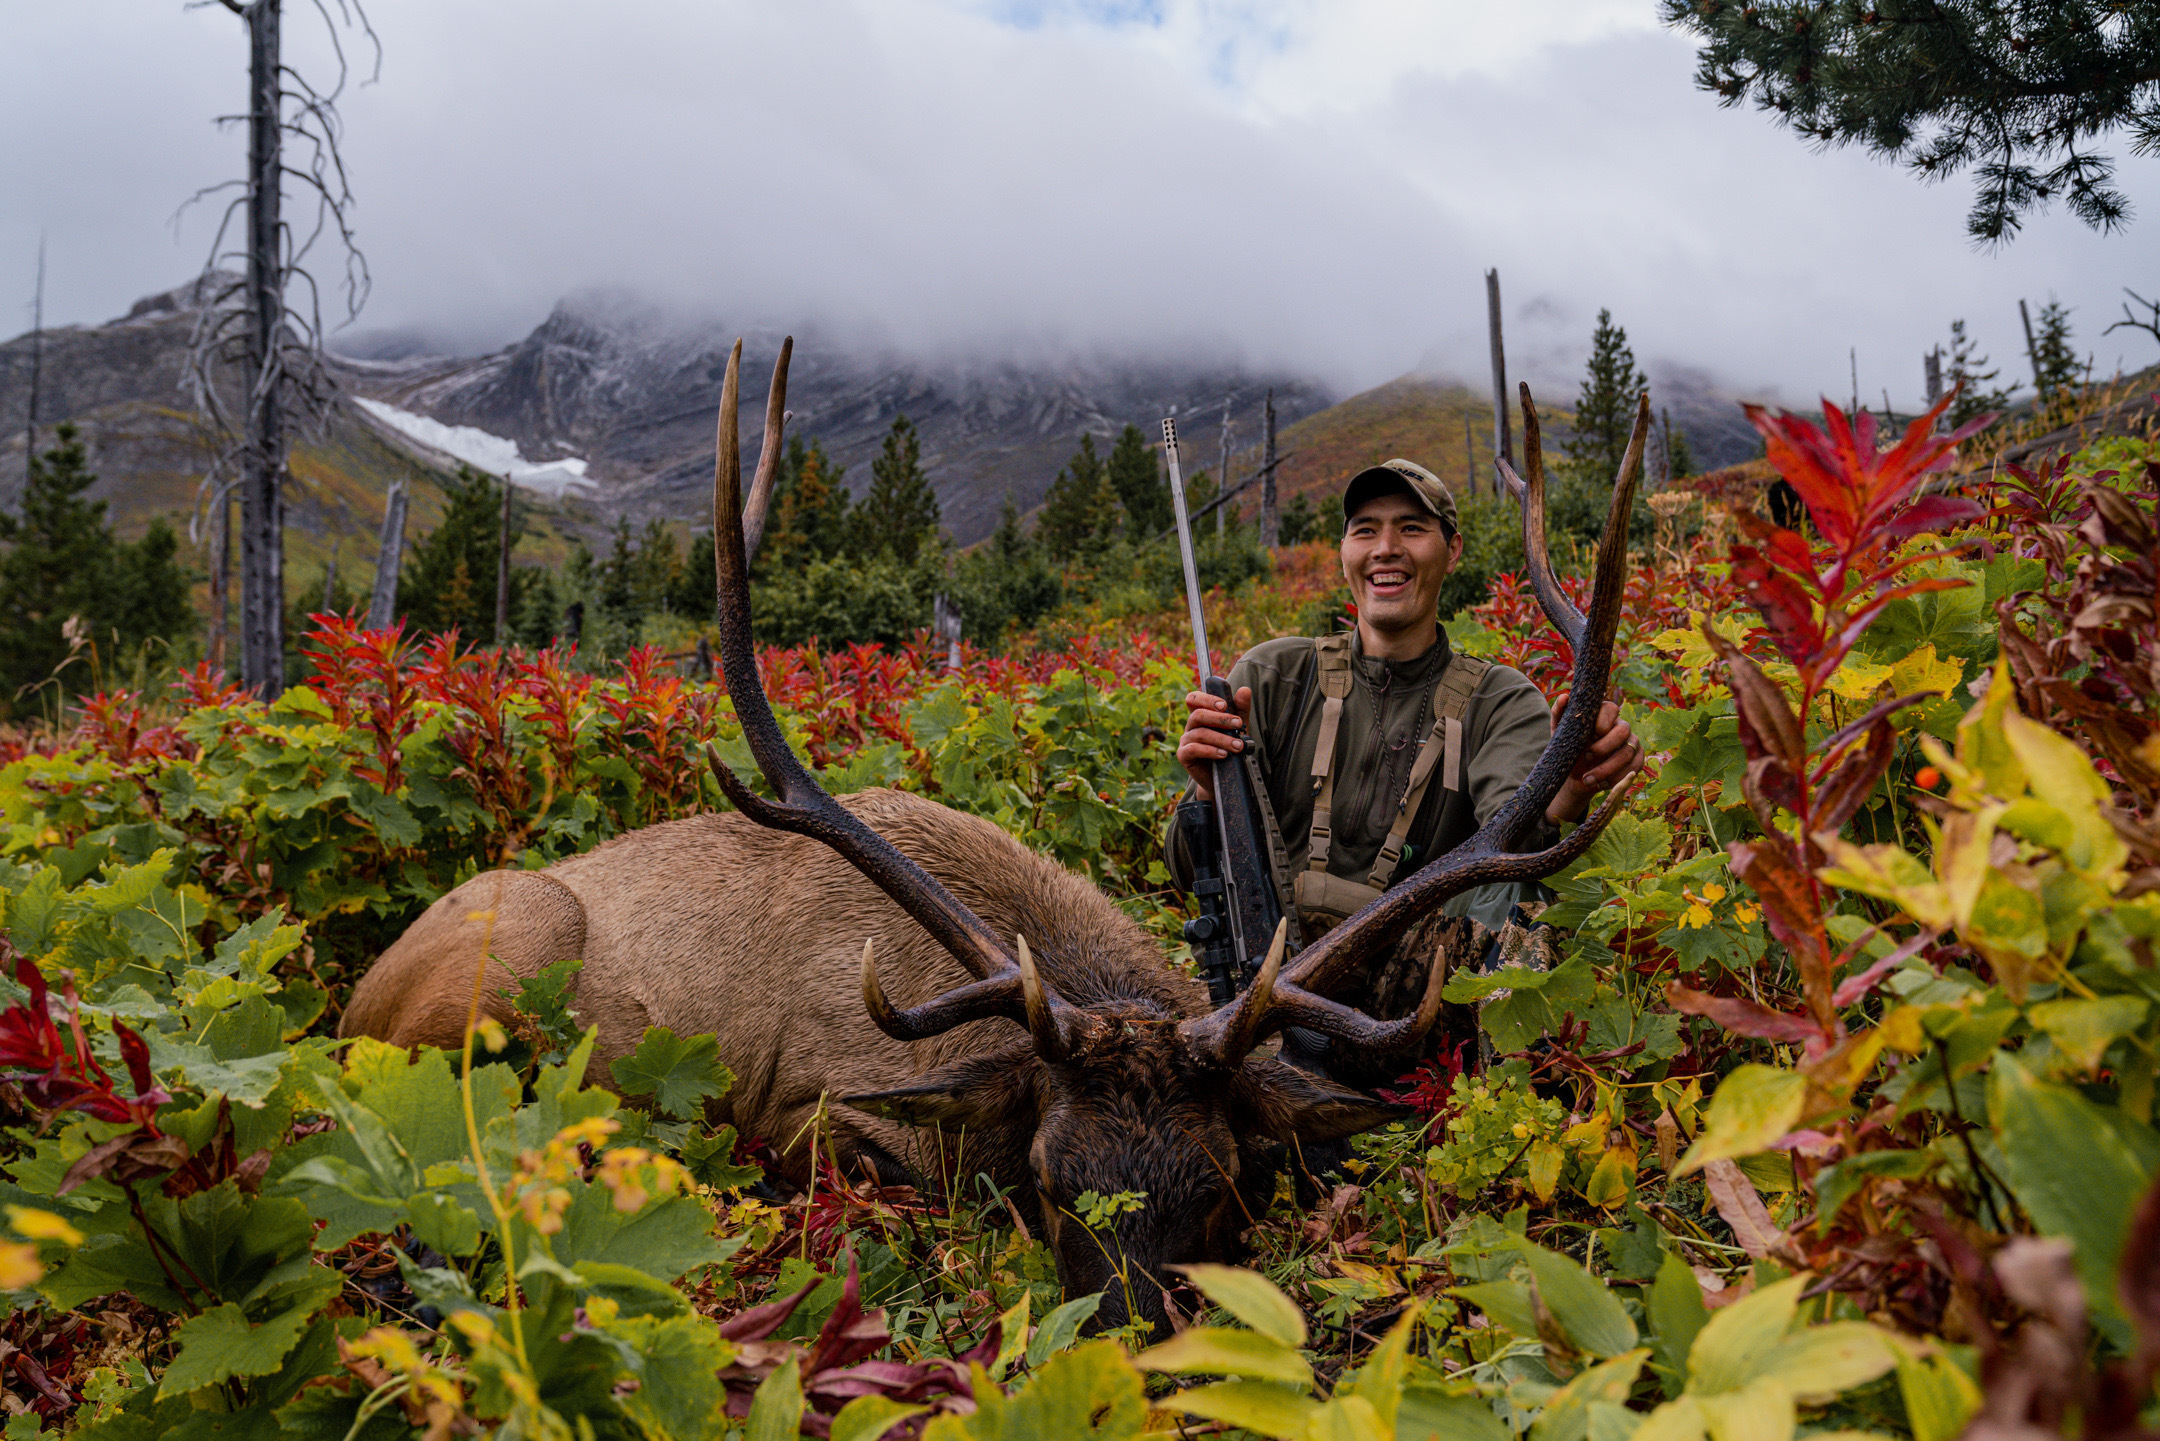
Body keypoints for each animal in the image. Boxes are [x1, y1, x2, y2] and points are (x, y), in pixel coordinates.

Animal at [341, 340, 1647, 1335]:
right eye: (1051, 1183)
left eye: (1225, 1186)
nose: (1135, 1348)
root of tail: (355, 993)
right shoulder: (812, 1112)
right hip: (508, 949)